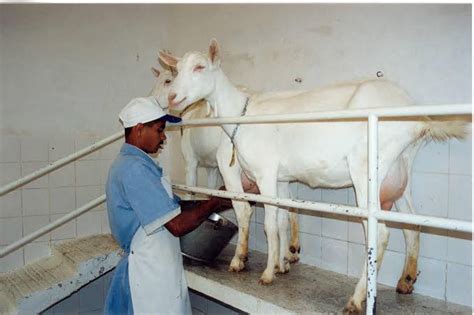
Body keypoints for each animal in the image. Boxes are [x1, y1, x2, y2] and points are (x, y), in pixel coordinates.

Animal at [159, 40, 466, 314]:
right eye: (176, 70)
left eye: (200, 67)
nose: (173, 98)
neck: (243, 113)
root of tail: (417, 119)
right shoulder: (281, 178)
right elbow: (283, 219)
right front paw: (281, 264)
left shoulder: (265, 172)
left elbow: (265, 222)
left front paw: (259, 270)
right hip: (400, 172)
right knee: (412, 225)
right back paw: (406, 281)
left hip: (367, 169)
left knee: (379, 233)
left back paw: (357, 300)